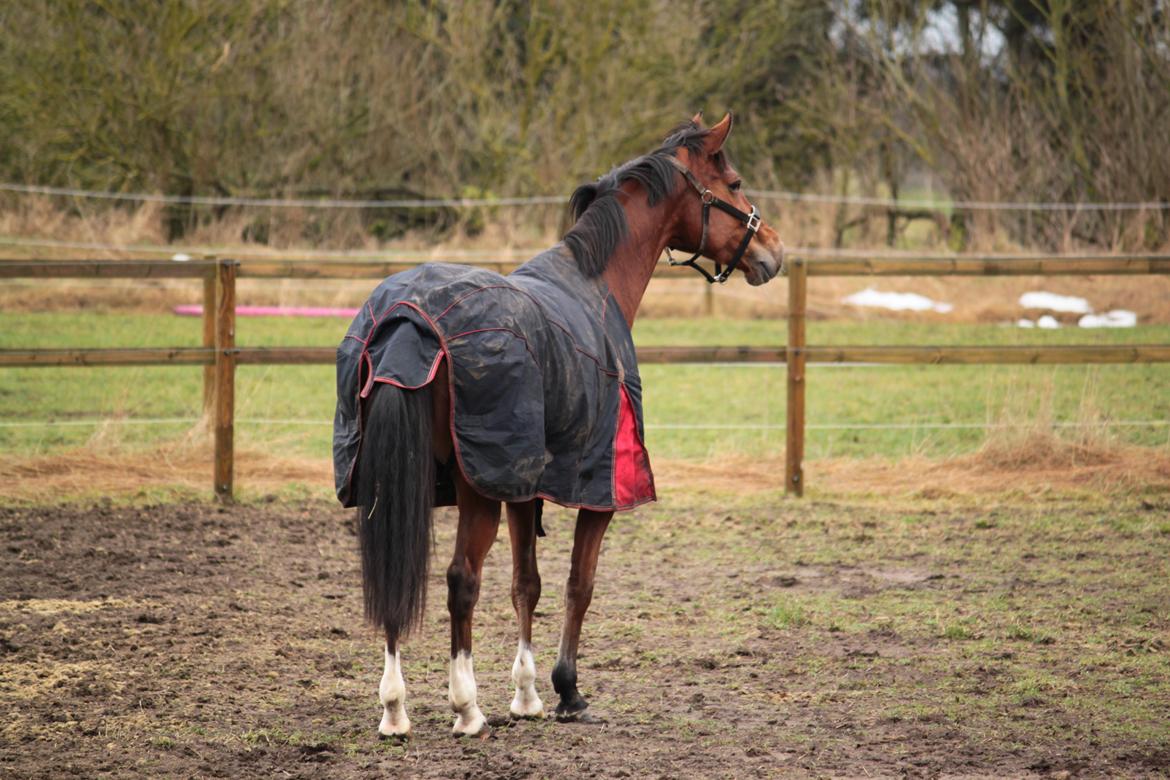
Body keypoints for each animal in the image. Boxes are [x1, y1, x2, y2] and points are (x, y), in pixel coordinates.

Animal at [332, 111, 786, 739]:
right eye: (735, 183)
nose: (773, 252)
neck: (595, 285)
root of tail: (406, 320)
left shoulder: (526, 485)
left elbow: (527, 583)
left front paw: (526, 696)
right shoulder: (597, 490)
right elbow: (578, 584)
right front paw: (567, 690)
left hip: (398, 480)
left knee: (394, 577)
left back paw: (395, 709)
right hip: (475, 489)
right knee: (460, 580)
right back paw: (466, 708)